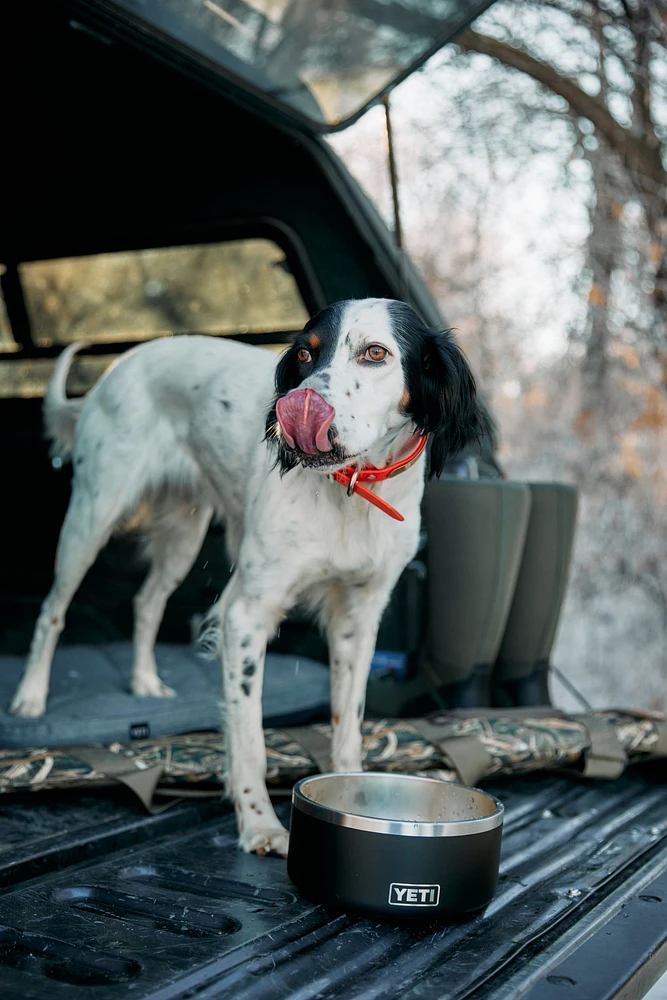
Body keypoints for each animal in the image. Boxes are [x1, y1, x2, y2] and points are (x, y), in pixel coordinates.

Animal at [10, 296, 488, 852]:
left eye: (375, 353)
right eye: (305, 354)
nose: (300, 404)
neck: (351, 489)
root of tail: (123, 361)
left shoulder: (358, 619)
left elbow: (347, 725)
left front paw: (352, 796)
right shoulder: (246, 614)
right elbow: (250, 739)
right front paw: (259, 823)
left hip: (182, 532)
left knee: (146, 601)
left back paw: (146, 682)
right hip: (93, 513)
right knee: (53, 610)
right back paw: (30, 698)